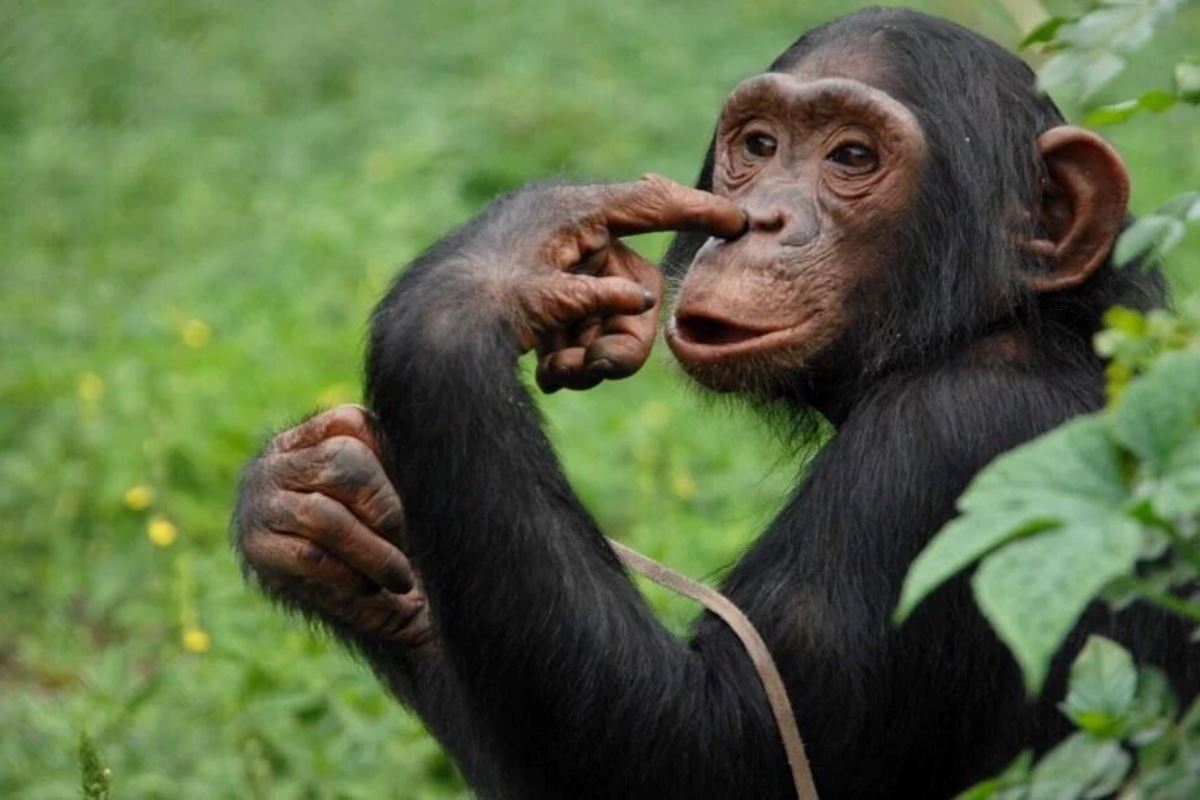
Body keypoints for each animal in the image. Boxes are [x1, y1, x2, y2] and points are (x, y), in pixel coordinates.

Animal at [234, 7, 1200, 800]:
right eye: (761, 146)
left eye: (853, 157)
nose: (766, 217)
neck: (996, 327)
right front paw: (324, 508)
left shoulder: (944, 446)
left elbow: (714, 753)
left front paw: (500, 260)